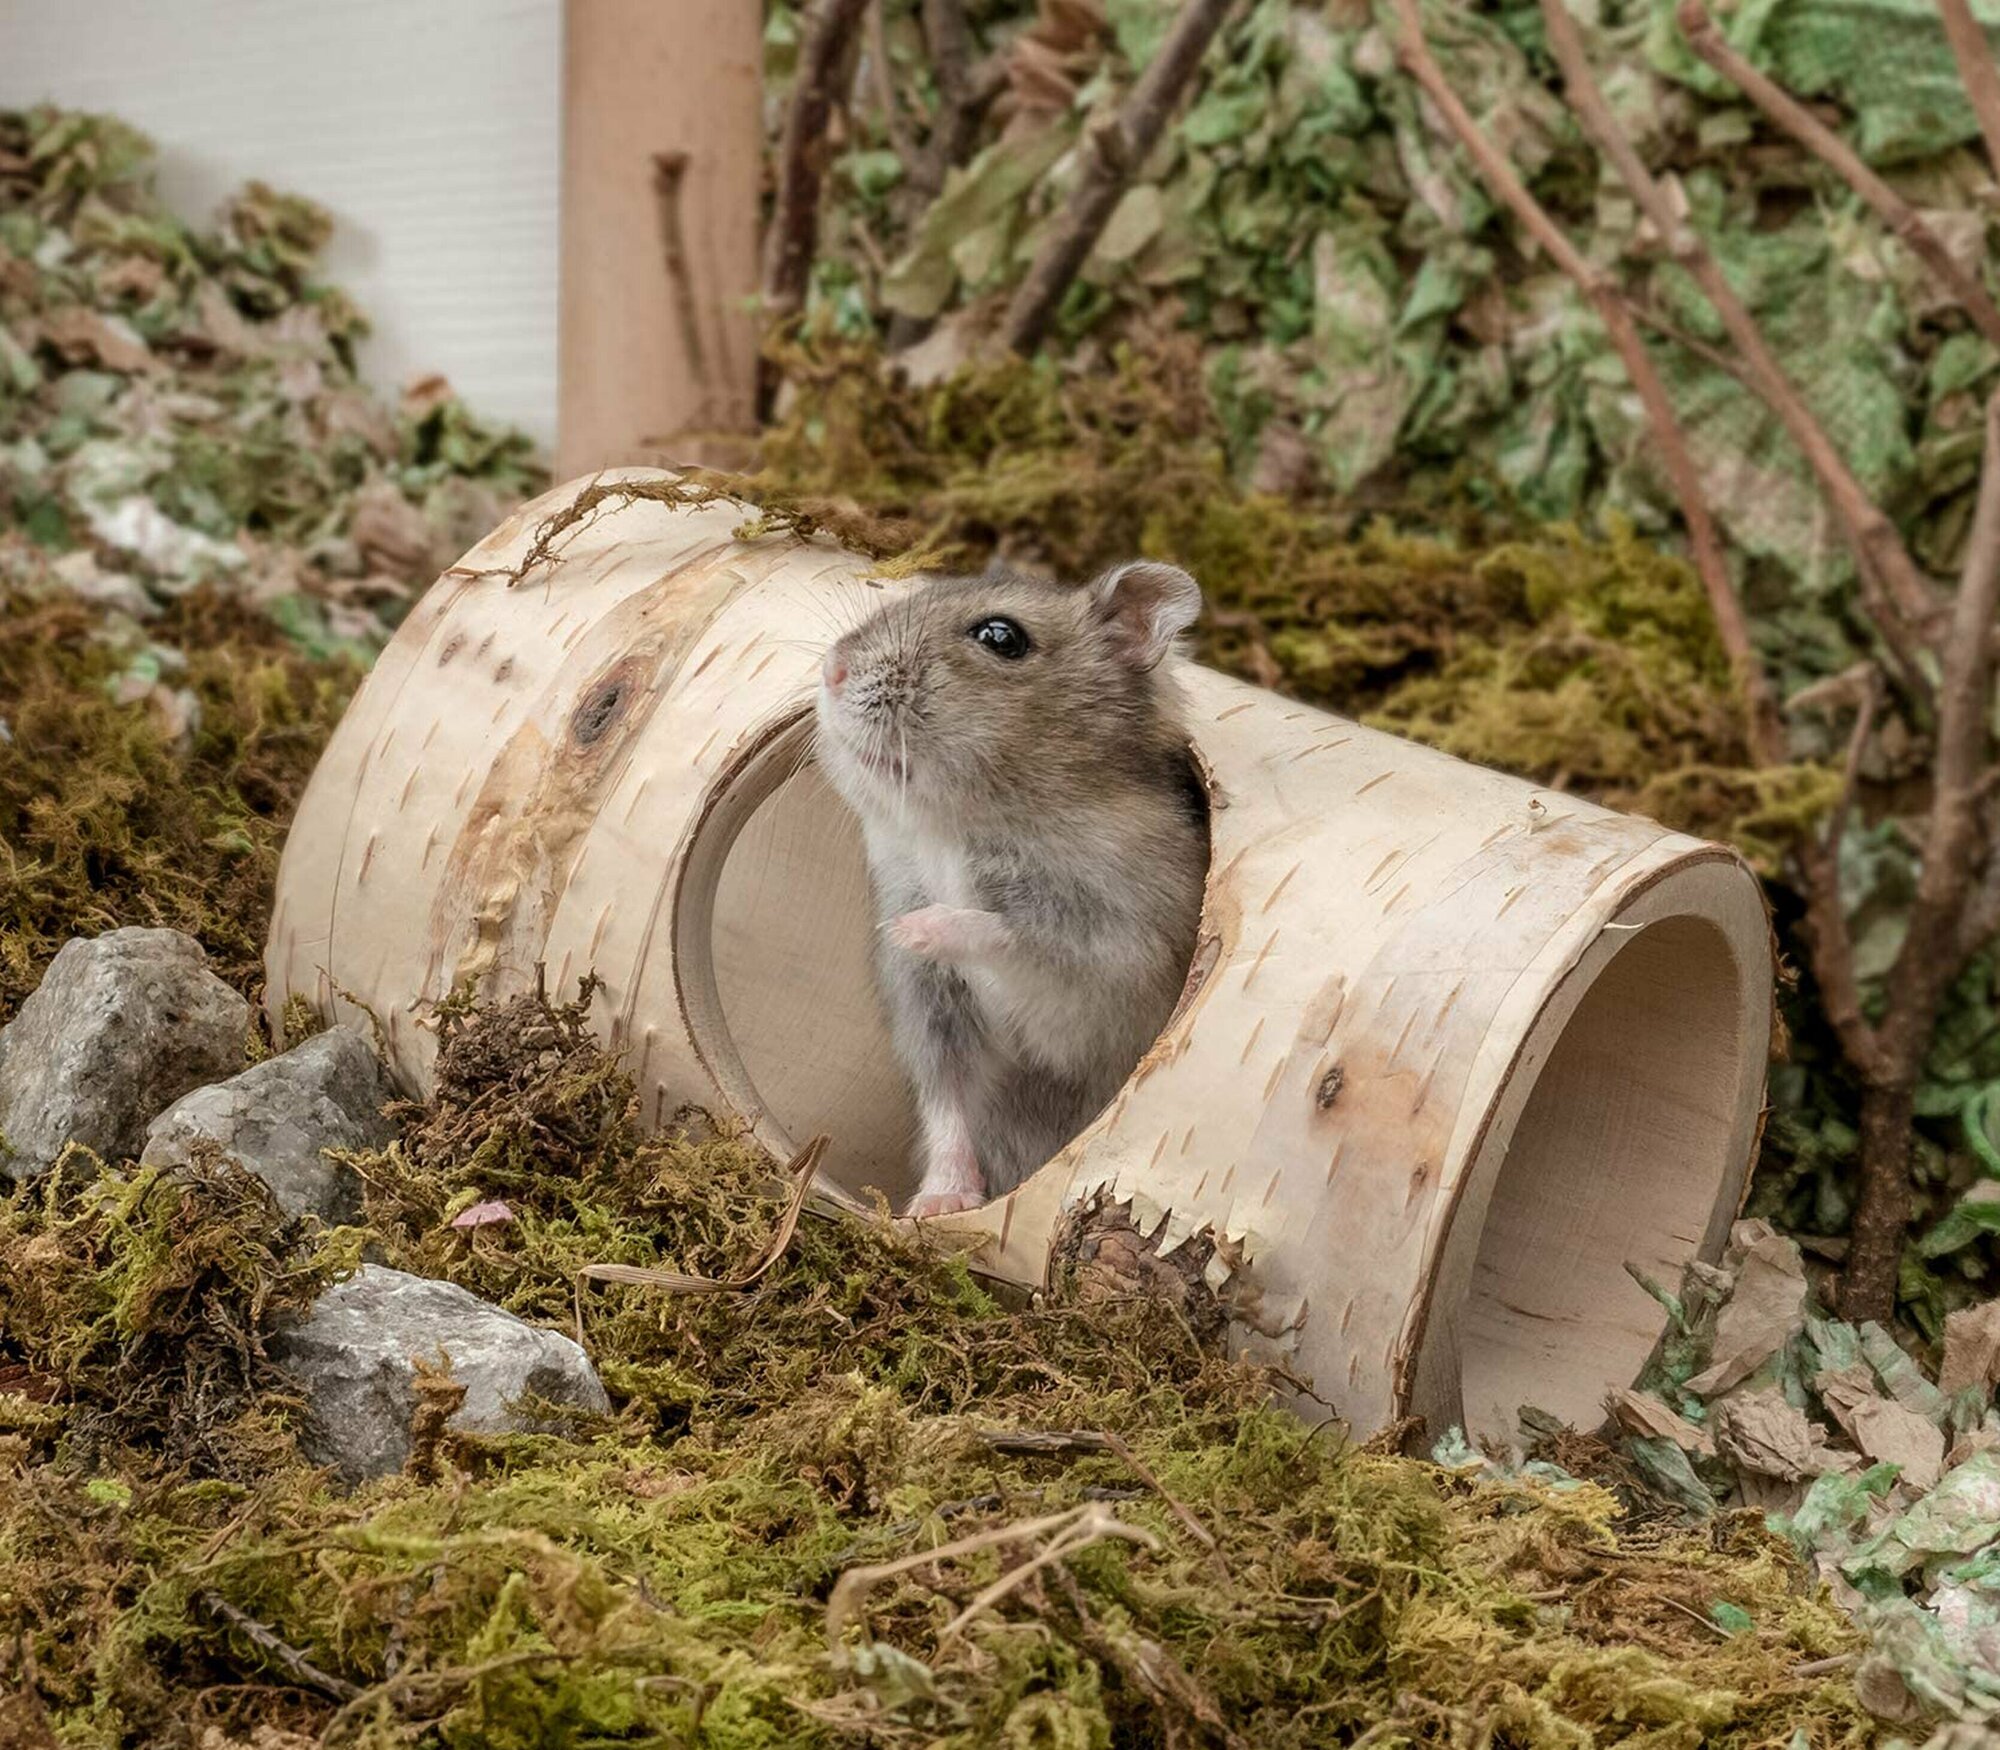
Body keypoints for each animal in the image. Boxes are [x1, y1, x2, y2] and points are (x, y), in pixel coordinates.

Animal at [808, 560, 1200, 1216]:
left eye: (1001, 637)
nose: (831, 669)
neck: (950, 833)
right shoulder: (931, 1012)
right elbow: (947, 1103)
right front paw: (939, 1204)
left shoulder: (1111, 971)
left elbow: (1008, 931)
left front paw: (911, 929)